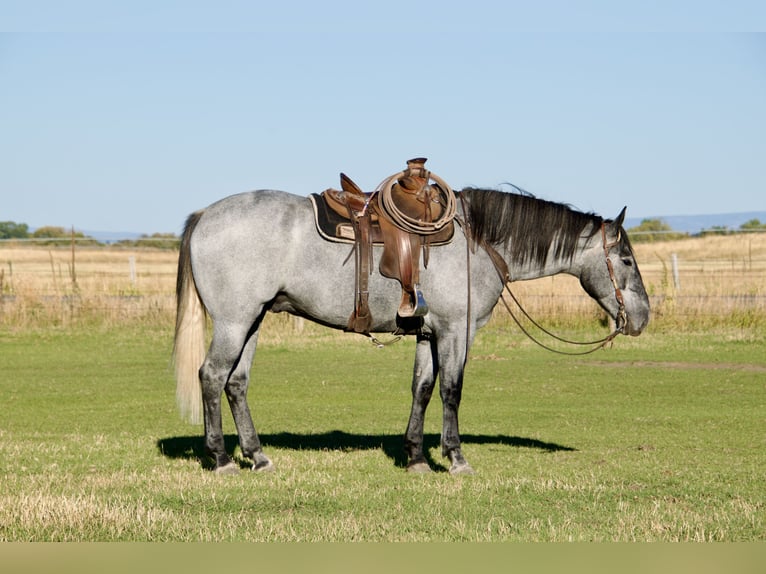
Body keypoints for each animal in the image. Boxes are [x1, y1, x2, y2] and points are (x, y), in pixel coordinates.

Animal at [172, 186, 650, 475]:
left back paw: (256, 456)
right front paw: (455, 457)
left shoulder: (428, 334)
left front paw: (417, 456)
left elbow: (422, 387)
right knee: (212, 377)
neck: (478, 243)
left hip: (252, 321)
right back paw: (221, 459)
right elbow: (451, 390)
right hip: (235, 322)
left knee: (236, 383)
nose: (643, 317)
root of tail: (205, 214)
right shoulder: (457, 331)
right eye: (626, 260)